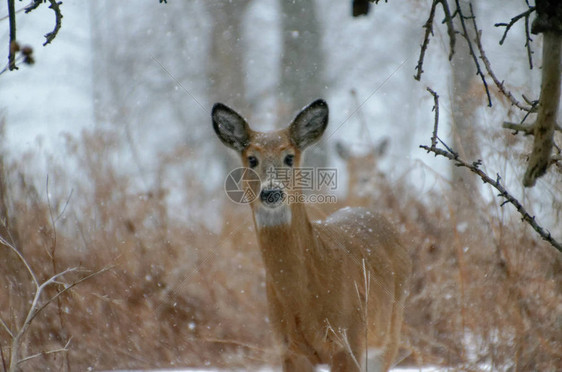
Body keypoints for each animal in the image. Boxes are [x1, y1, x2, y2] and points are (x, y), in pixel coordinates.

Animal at [210, 99, 406, 372]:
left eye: (289, 157)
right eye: (252, 159)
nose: (271, 192)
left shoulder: (349, 340)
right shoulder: (288, 349)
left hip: (388, 333)